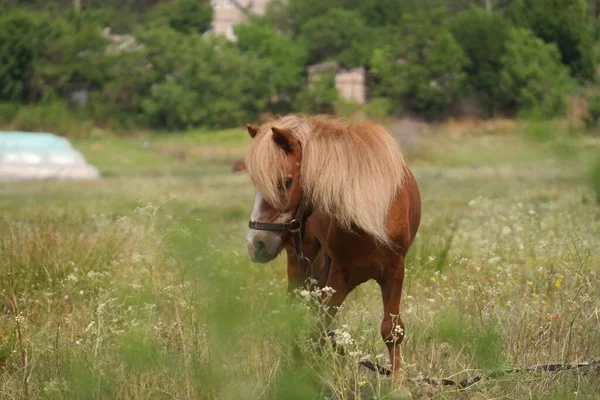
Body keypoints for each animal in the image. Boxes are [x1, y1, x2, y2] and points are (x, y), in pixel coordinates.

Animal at [244, 114, 422, 380]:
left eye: (285, 182)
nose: (256, 243)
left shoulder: (394, 270)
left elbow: (392, 330)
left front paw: (398, 383)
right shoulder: (341, 276)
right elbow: (319, 327)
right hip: (301, 261)